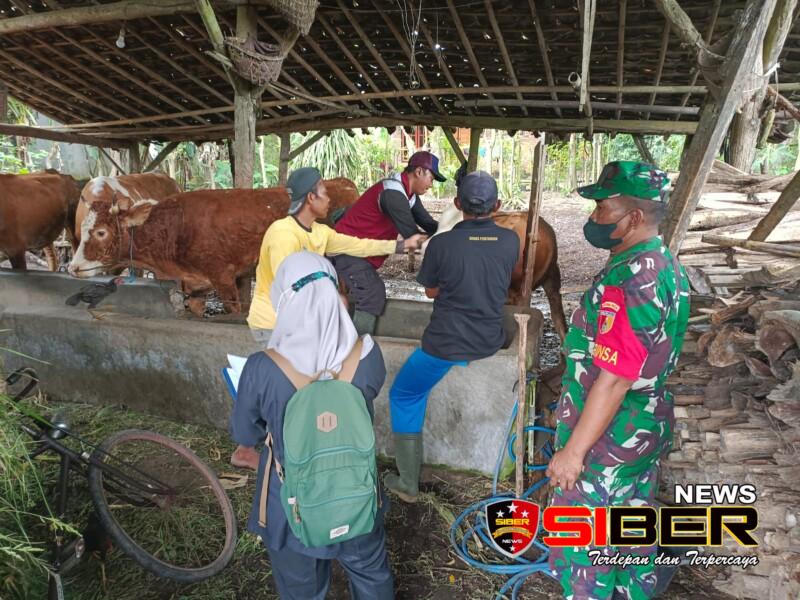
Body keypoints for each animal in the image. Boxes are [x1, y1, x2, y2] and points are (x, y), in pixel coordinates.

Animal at [68, 180, 361, 316]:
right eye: (82, 228)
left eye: (101, 232)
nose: (73, 266)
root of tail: (341, 182)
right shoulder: (193, 287)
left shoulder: (223, 277)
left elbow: (236, 311)